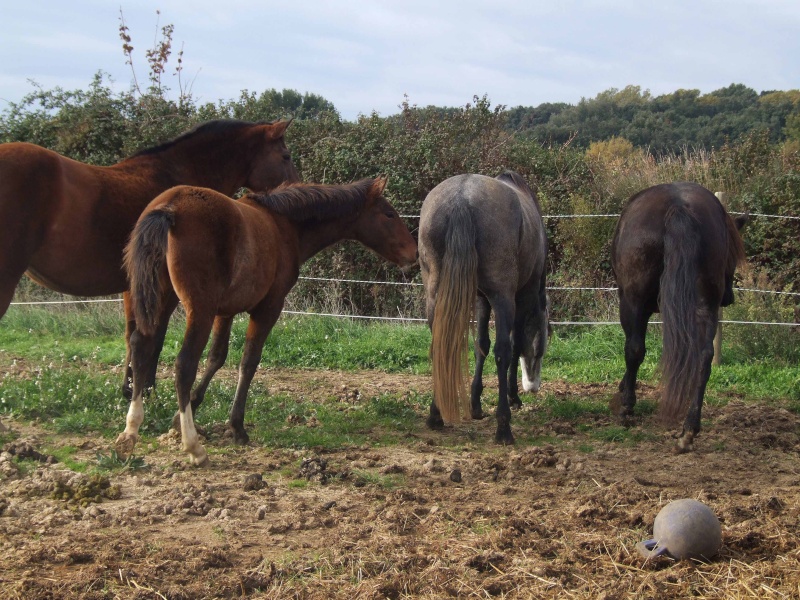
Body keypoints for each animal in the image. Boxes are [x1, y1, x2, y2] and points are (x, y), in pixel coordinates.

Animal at [0, 119, 298, 396]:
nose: (297, 185)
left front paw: (130, 388)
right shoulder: (166, 291)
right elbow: (155, 337)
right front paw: (147, 391)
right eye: (286, 156)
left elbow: (134, 334)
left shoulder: (134, 288)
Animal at [117, 177, 418, 464]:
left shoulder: (224, 311)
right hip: (197, 309)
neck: (284, 225)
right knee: (184, 364)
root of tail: (170, 209)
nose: (413, 254)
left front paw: (186, 410)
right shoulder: (267, 309)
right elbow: (248, 362)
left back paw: (130, 432)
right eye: (389, 214)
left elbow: (217, 357)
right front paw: (236, 427)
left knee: (140, 345)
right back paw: (193, 448)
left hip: (161, 301)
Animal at [418, 171, 552, 442]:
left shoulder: (481, 298)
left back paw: (436, 415)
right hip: (502, 298)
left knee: (440, 345)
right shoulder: (521, 298)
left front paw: (476, 404)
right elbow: (514, 345)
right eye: (540, 351)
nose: (533, 386)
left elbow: (481, 345)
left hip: (435, 294)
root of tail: (461, 200)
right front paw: (513, 396)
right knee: (503, 351)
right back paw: (504, 428)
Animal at [612, 180, 752, 452]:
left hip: (634, 300)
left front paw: (625, 392)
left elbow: (633, 348)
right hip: (705, 306)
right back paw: (689, 428)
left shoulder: (631, 304)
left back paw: (627, 409)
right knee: (704, 356)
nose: (729, 298)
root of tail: (679, 207)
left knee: (634, 348)